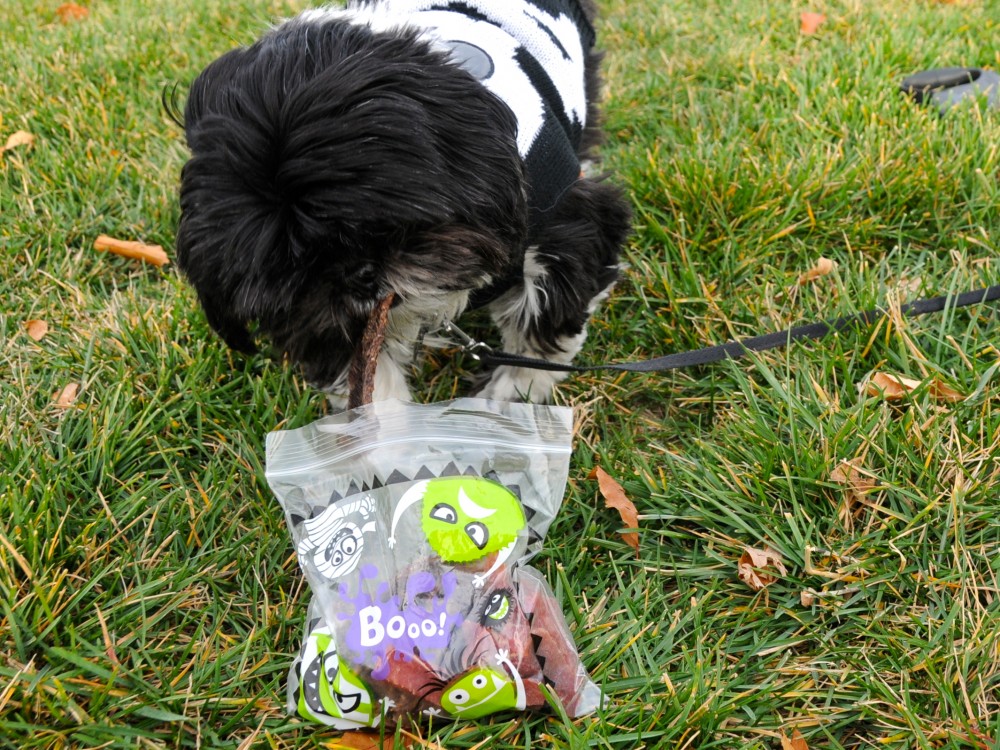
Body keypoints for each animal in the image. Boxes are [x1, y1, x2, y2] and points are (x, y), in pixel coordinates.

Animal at [171, 0, 624, 406]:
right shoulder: (320, 321)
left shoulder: (564, 216)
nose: (357, 274)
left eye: (385, 222)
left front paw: (510, 395)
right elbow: (363, 375)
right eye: (289, 268)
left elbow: (545, 323)